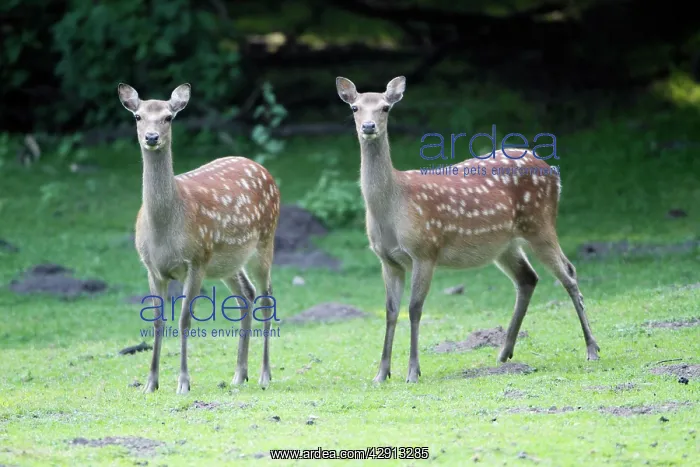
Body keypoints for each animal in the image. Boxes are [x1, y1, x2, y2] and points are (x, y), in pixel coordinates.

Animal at [117, 83, 280, 394]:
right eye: (138, 116)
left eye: (168, 117)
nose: (151, 137)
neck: (165, 230)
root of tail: (264, 170)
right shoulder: (151, 267)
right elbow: (157, 321)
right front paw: (150, 383)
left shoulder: (196, 260)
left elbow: (184, 319)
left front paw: (183, 383)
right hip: (228, 262)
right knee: (247, 295)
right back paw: (239, 374)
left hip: (265, 240)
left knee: (266, 298)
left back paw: (265, 374)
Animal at [335, 76, 600, 384]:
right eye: (355, 107)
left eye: (385, 108)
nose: (368, 127)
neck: (392, 206)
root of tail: (553, 171)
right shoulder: (387, 260)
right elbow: (391, 311)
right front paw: (381, 374)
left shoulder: (425, 250)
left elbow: (414, 309)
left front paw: (413, 372)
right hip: (505, 244)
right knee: (528, 278)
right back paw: (503, 353)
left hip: (541, 224)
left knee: (568, 273)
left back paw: (592, 349)